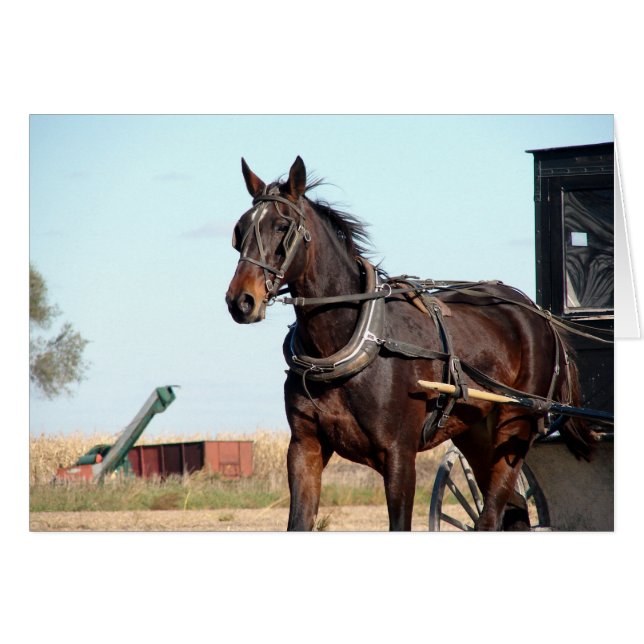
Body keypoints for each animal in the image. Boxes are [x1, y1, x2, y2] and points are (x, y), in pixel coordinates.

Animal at [225, 156, 593, 531]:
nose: (241, 301)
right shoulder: (304, 447)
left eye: (282, 226)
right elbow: (299, 521)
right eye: (240, 229)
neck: (348, 347)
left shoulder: (399, 456)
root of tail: (538, 314)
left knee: (492, 515)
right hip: (475, 432)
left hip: (514, 426)